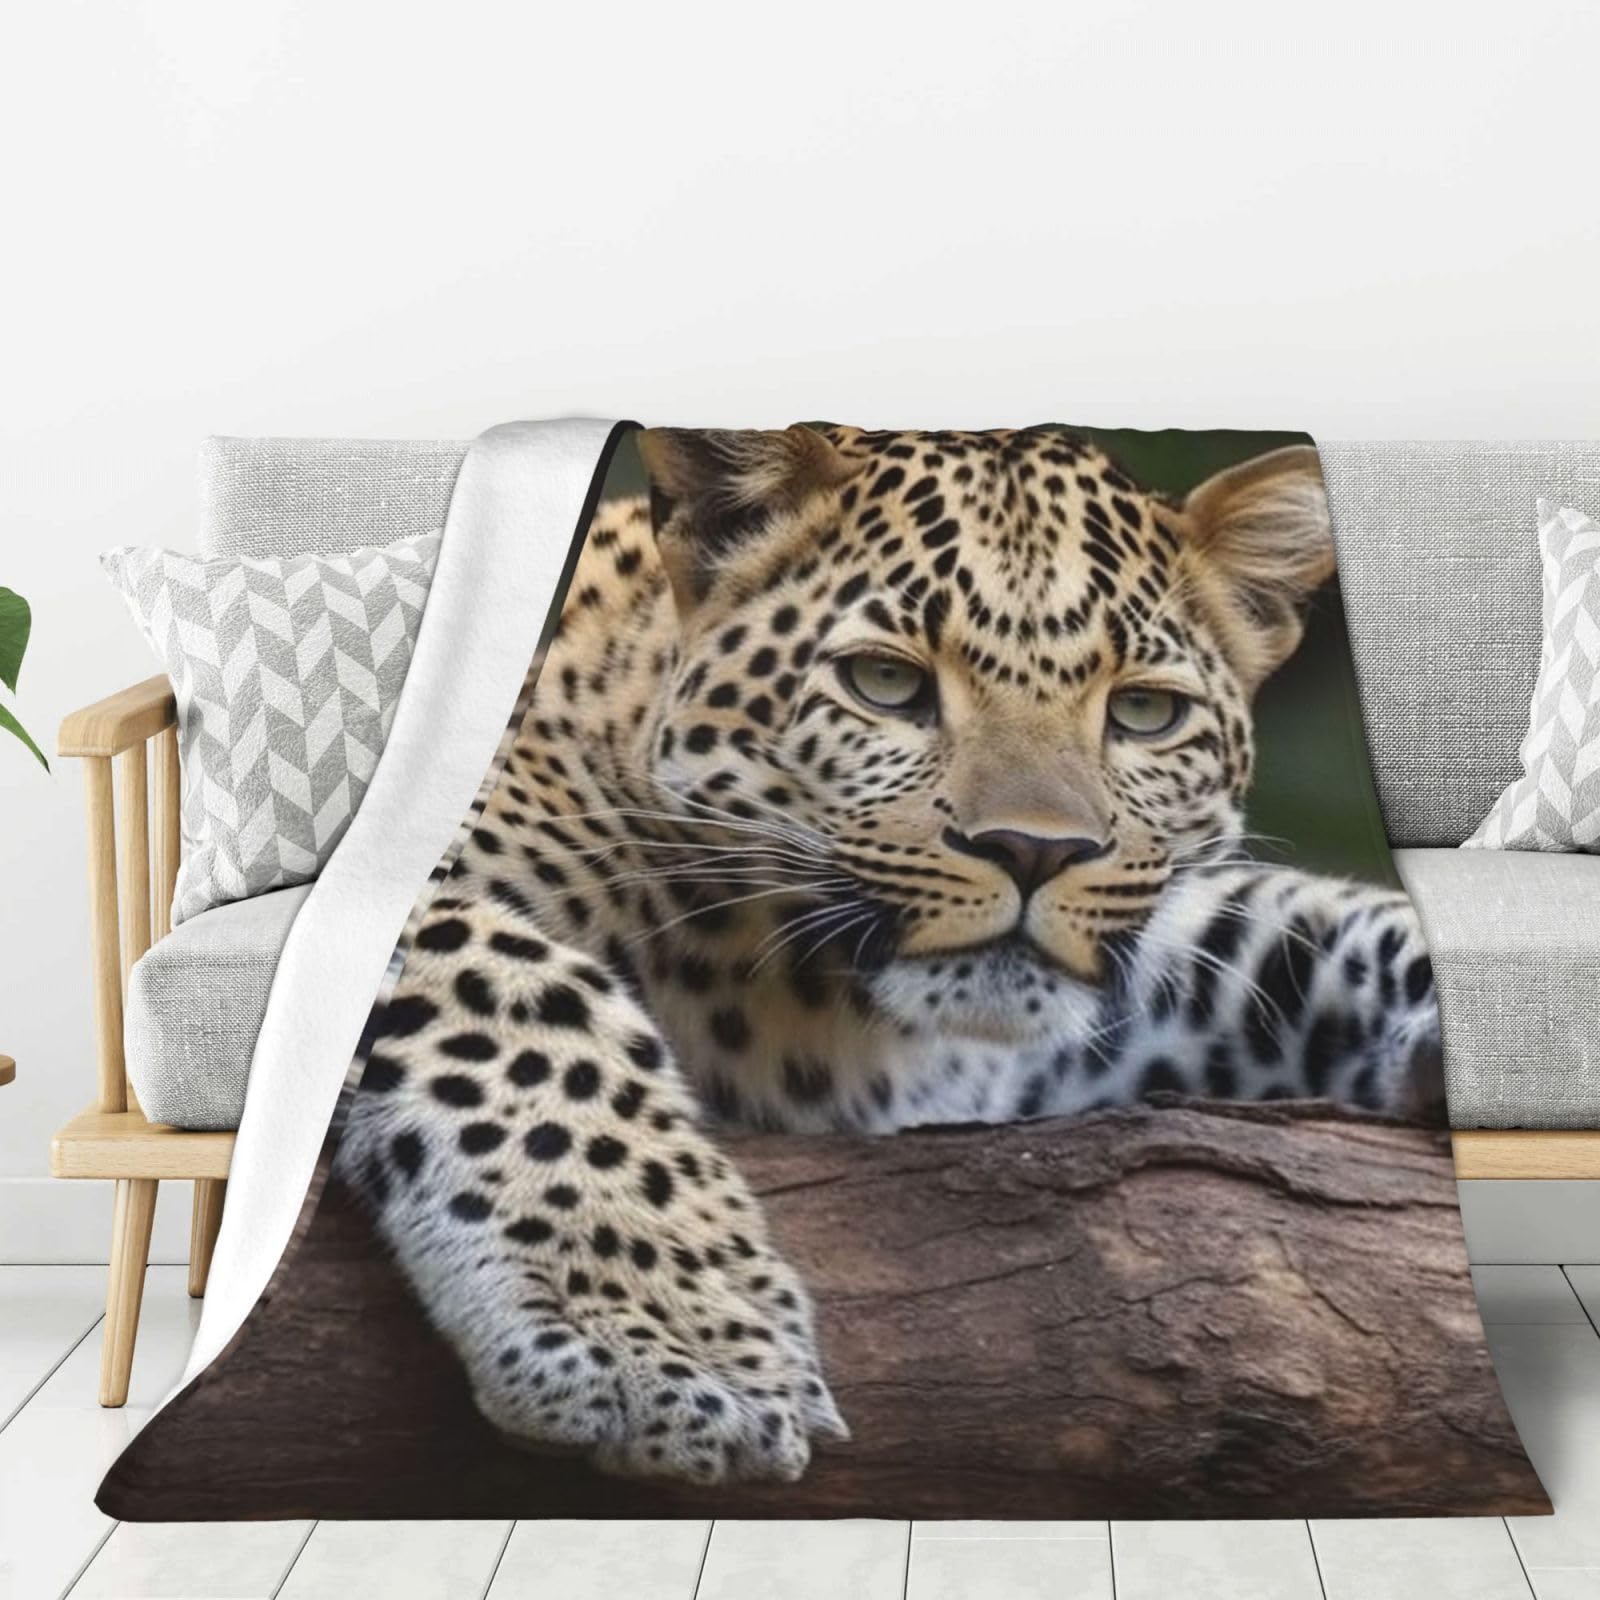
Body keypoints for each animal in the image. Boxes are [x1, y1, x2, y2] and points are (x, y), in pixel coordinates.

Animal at [333, 424, 1442, 1488]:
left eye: (1143, 711)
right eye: (885, 683)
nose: (1034, 850)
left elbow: (1278, 927)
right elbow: (519, 998)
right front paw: (672, 1346)